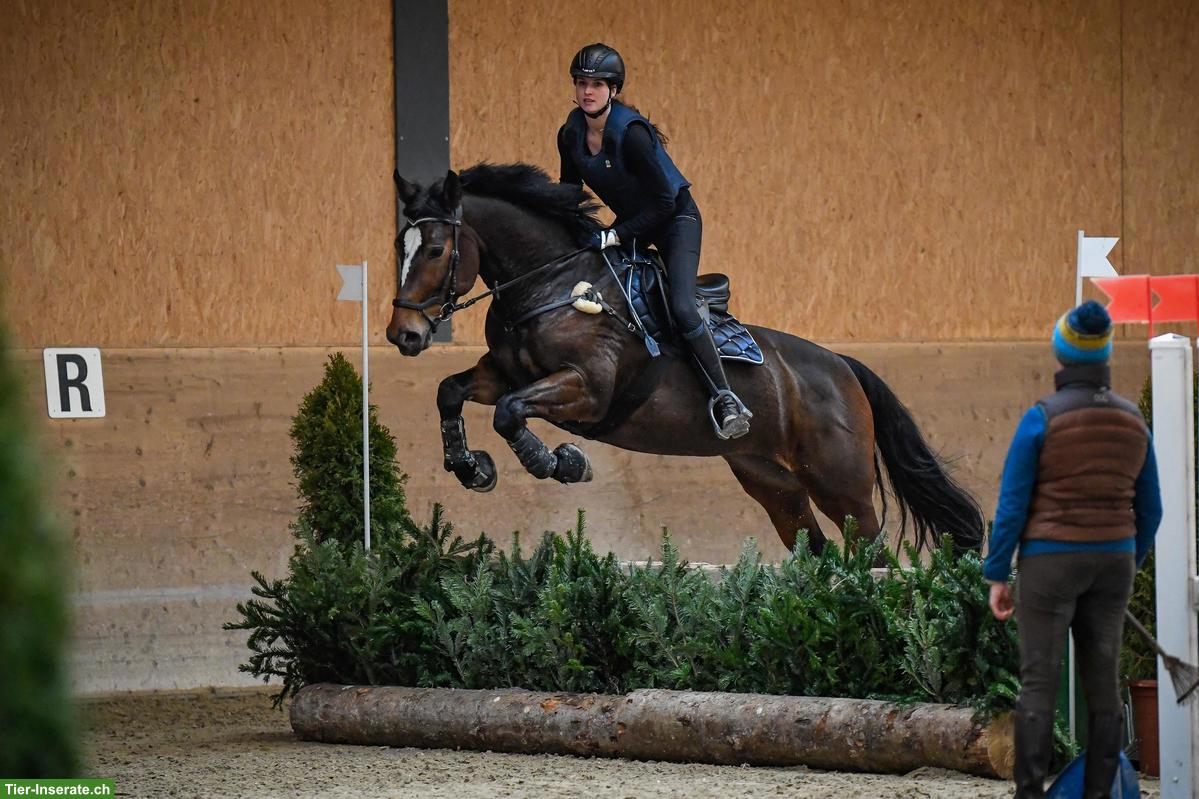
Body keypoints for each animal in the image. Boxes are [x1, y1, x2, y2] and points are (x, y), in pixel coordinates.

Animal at [385, 163, 984, 556]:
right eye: (399, 247)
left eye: (435, 250)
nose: (403, 335)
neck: (549, 284)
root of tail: (842, 366)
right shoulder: (504, 372)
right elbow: (452, 391)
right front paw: (471, 468)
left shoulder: (586, 388)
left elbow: (510, 413)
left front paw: (560, 462)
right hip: (773, 482)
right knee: (815, 550)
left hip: (842, 484)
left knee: (870, 551)